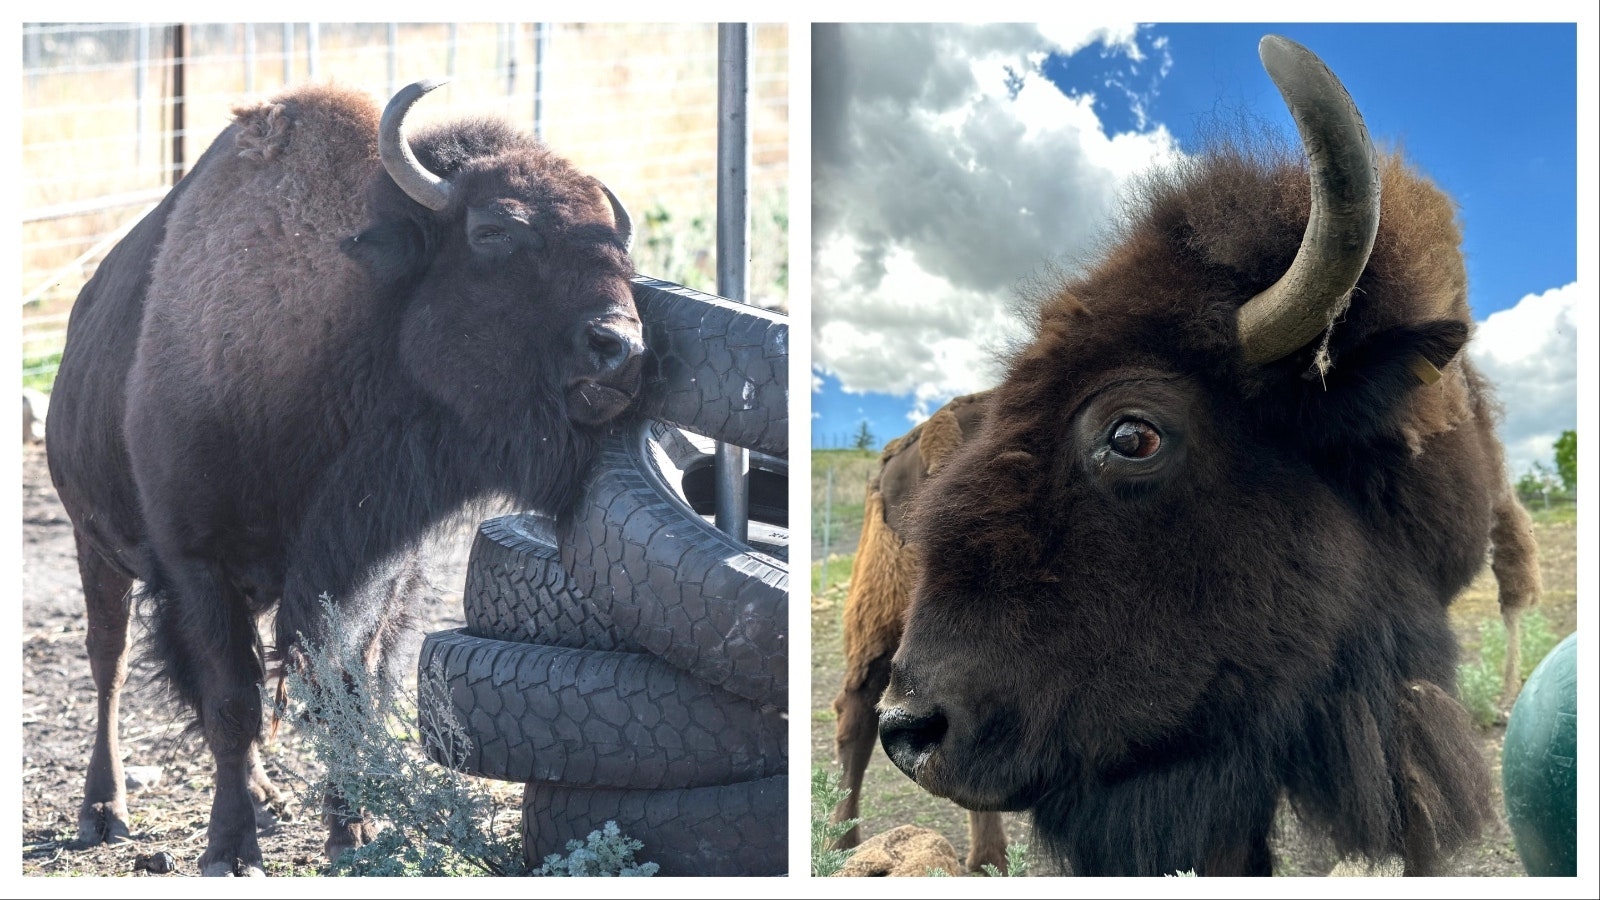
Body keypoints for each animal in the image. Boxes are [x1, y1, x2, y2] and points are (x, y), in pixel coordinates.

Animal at [45, 80, 643, 871]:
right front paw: (228, 850)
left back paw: (266, 795)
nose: (622, 347)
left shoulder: (369, 562)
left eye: (617, 245)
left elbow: (343, 689)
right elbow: (232, 701)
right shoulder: (197, 561)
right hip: (96, 547)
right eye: (492, 231)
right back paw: (104, 812)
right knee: (108, 664)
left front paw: (352, 833)